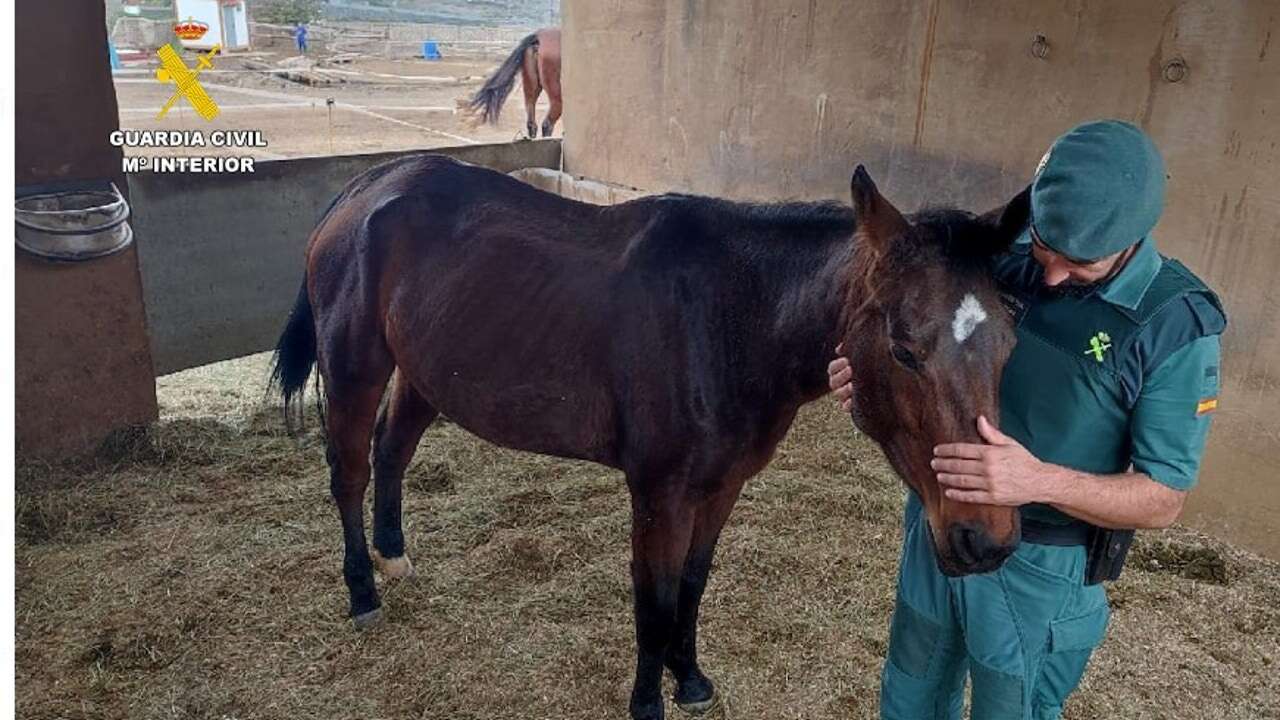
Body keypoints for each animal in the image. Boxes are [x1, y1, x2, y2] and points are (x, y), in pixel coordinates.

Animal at [270, 156, 1029, 717]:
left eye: (1009, 338)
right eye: (904, 349)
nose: (985, 540)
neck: (729, 315)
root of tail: (370, 185)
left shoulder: (722, 486)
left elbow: (691, 585)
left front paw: (689, 679)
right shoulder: (659, 492)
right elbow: (654, 598)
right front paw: (646, 702)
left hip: (425, 374)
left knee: (392, 451)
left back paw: (394, 556)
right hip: (356, 365)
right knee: (349, 472)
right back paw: (363, 592)